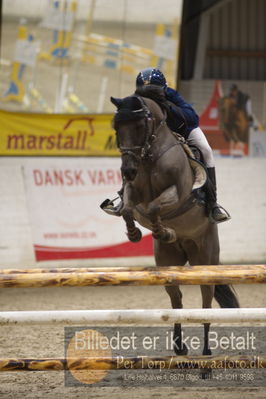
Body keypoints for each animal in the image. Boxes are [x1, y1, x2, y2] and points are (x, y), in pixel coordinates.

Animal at [108, 92, 239, 364]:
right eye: (116, 127)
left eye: (140, 126)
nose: (127, 170)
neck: (149, 157)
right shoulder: (133, 191)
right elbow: (128, 208)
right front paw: (135, 233)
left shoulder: (178, 193)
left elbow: (155, 207)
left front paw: (163, 230)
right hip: (168, 263)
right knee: (176, 300)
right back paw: (179, 347)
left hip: (204, 260)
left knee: (206, 303)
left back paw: (206, 351)